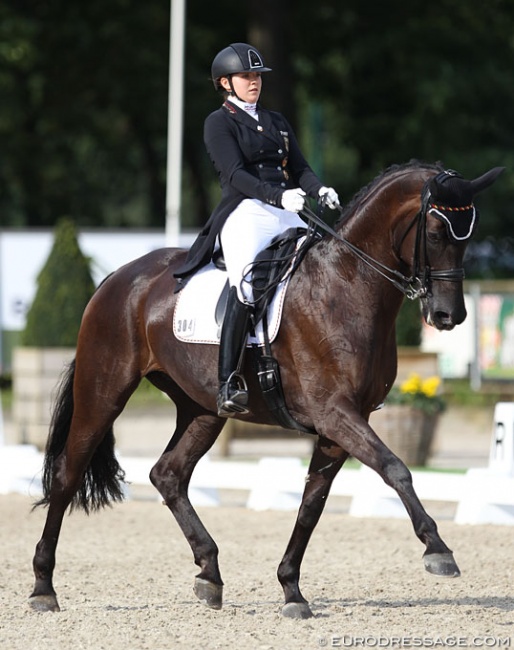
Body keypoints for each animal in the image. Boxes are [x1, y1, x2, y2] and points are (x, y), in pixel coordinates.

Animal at [27, 159, 500, 616]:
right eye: (435, 233)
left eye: (469, 236)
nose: (448, 316)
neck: (346, 285)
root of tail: (117, 278)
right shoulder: (335, 413)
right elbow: (395, 468)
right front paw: (438, 550)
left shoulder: (341, 424)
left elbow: (312, 504)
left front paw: (291, 589)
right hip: (104, 392)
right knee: (68, 474)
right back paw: (43, 588)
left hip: (202, 409)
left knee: (168, 474)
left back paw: (209, 574)